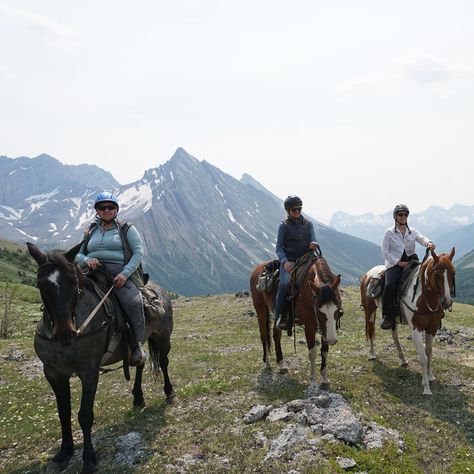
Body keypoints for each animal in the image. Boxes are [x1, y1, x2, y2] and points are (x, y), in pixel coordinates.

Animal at [26, 243, 174, 474]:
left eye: (73, 281)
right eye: (41, 284)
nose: (65, 333)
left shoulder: (89, 370)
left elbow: (85, 415)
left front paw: (88, 460)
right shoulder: (53, 373)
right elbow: (63, 412)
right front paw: (64, 453)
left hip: (163, 338)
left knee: (165, 363)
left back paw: (169, 392)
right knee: (139, 362)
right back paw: (138, 398)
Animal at [250, 254, 342, 390]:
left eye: (337, 311)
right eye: (319, 312)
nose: (331, 340)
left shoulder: (325, 328)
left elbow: (324, 351)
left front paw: (325, 379)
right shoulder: (310, 325)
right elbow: (312, 353)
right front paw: (313, 382)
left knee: (276, 335)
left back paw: (281, 365)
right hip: (260, 308)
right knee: (264, 335)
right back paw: (267, 363)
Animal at [362, 248, 458, 396]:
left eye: (453, 273)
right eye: (436, 274)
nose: (446, 302)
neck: (423, 296)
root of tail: (368, 273)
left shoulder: (432, 327)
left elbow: (429, 353)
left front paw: (430, 376)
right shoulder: (416, 329)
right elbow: (423, 357)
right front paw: (426, 388)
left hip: (392, 317)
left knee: (394, 335)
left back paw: (403, 360)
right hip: (369, 310)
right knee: (371, 330)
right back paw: (372, 354)